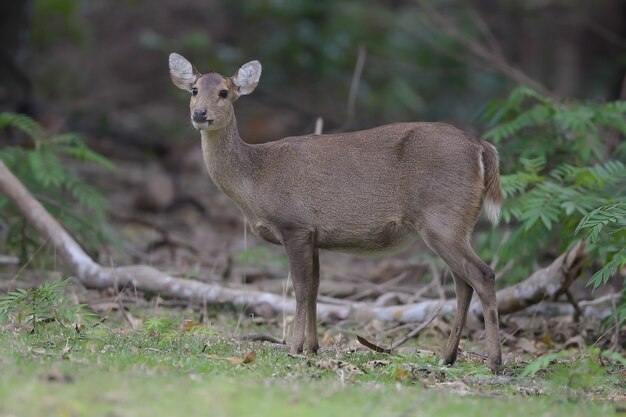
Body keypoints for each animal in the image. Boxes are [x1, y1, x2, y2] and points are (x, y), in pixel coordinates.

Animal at [168, 52, 504, 370]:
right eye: (194, 90)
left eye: (224, 92)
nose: (200, 113)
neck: (256, 179)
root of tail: (481, 148)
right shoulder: (314, 235)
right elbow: (315, 288)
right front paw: (313, 348)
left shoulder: (294, 225)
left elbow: (300, 289)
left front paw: (294, 348)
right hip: (453, 223)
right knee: (463, 283)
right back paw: (447, 357)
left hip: (443, 216)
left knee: (482, 274)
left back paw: (494, 361)